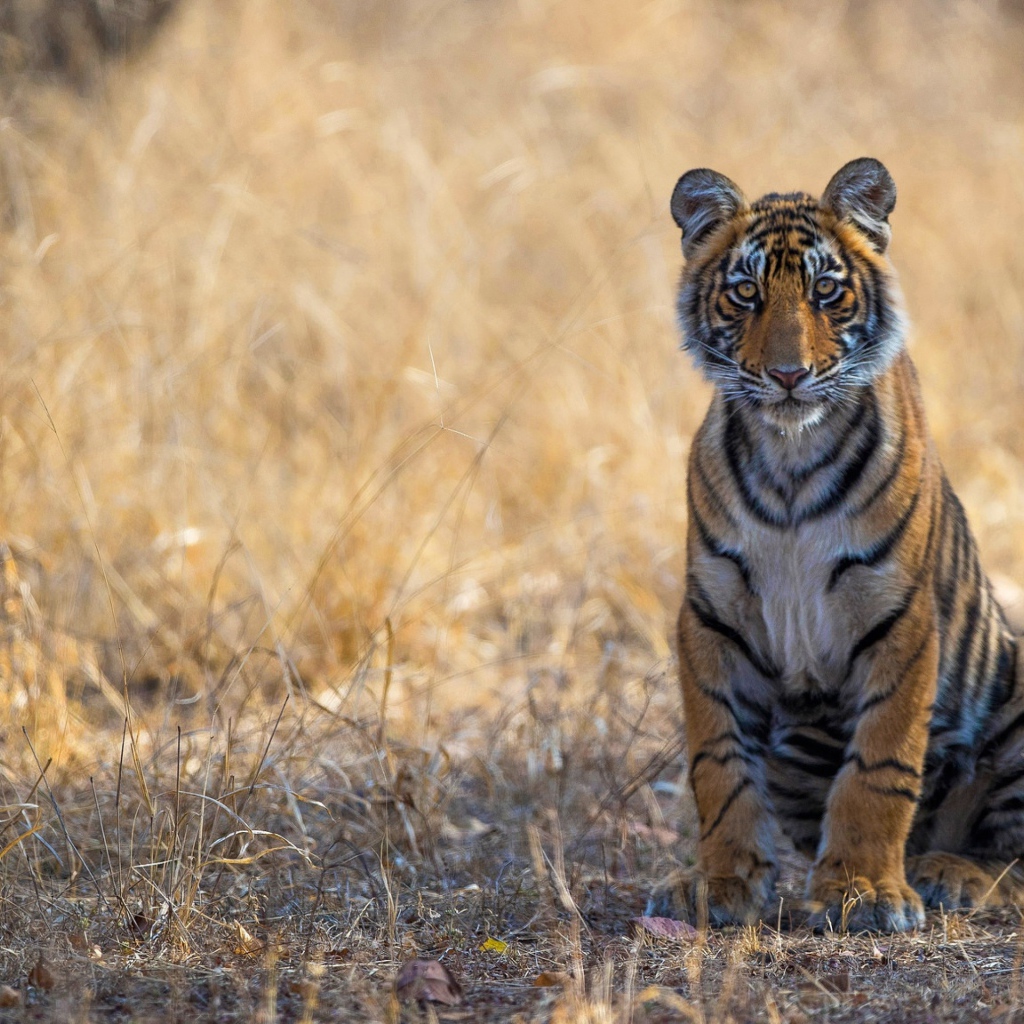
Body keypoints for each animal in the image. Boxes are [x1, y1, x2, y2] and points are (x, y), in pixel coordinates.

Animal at [661, 157, 1024, 932]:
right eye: (745, 293)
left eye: (826, 291)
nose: (788, 375)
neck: (790, 460)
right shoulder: (710, 618)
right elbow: (718, 764)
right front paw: (721, 883)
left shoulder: (900, 619)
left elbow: (879, 768)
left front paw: (864, 891)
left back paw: (953, 873)